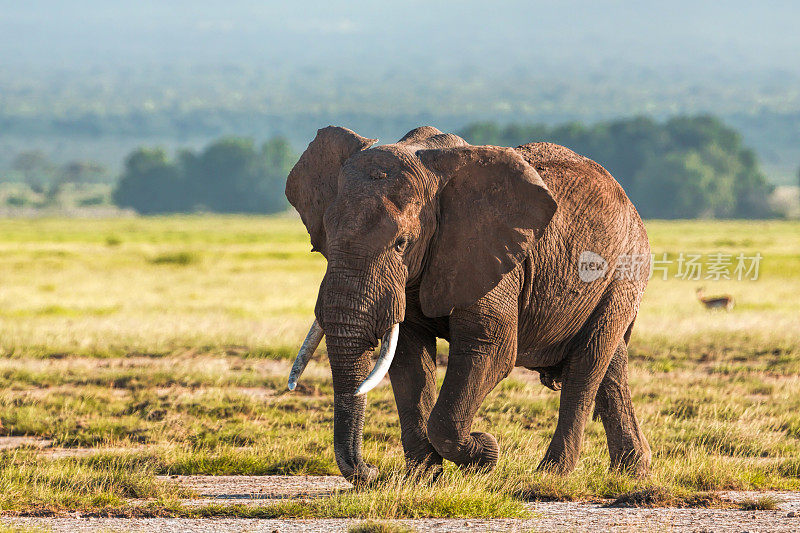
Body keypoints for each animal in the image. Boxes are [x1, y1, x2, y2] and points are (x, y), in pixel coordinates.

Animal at [286, 125, 648, 482]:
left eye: (401, 244)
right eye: (324, 241)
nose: (371, 471)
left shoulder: (492, 254)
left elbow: (489, 349)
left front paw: (485, 453)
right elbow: (409, 359)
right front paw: (423, 479)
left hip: (623, 273)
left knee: (586, 367)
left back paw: (551, 475)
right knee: (611, 367)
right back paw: (632, 472)